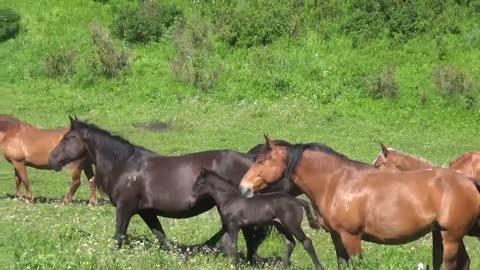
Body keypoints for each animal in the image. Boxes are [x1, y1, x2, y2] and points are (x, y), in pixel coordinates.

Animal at [186, 169, 324, 268]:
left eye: (198, 183)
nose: (190, 201)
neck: (229, 201)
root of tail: (297, 200)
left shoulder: (234, 226)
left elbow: (233, 246)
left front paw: (235, 266)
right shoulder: (227, 227)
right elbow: (227, 246)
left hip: (292, 224)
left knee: (306, 242)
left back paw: (318, 266)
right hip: (281, 225)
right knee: (290, 243)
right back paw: (284, 266)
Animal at [239, 135, 480, 270]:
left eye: (262, 161)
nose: (243, 187)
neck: (337, 182)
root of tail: (468, 181)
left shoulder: (351, 237)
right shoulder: (337, 237)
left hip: (451, 237)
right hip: (443, 235)